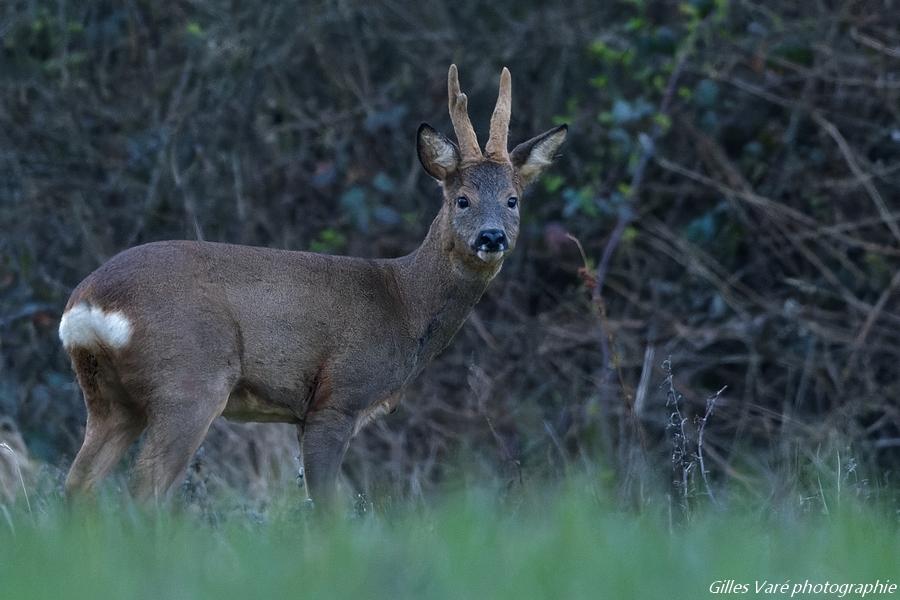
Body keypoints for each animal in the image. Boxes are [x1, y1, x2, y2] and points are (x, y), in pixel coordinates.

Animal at [59, 64, 568, 506]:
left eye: (513, 200)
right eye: (462, 199)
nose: (492, 237)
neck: (405, 303)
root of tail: (85, 304)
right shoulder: (336, 398)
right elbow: (326, 506)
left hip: (109, 399)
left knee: (78, 484)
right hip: (189, 379)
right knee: (144, 489)